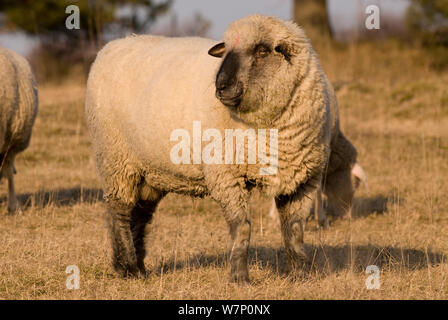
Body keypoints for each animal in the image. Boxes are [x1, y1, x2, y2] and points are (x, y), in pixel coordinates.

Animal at [85, 14, 336, 282]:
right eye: (226, 51)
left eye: (262, 50)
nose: (221, 86)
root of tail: (112, 46)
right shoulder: (226, 176)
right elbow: (242, 227)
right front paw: (239, 278)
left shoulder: (303, 180)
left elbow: (295, 229)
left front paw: (298, 274)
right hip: (115, 158)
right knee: (119, 211)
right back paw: (129, 268)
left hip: (149, 171)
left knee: (141, 213)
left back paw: (137, 266)